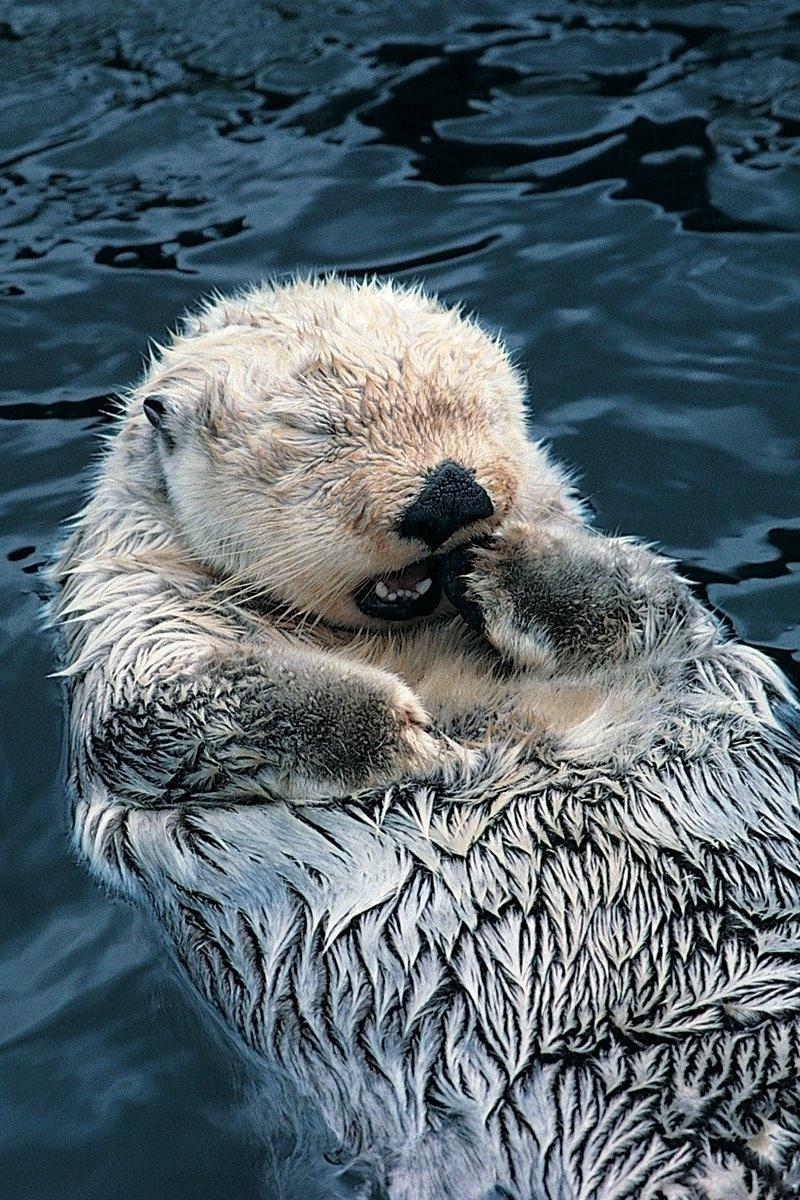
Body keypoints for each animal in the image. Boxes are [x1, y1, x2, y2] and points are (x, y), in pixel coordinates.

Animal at [53, 277, 800, 1199]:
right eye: (318, 433)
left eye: (477, 408)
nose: (452, 497)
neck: (407, 639)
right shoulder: (131, 619)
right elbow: (163, 706)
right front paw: (410, 738)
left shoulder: (658, 625)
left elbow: (645, 600)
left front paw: (505, 567)